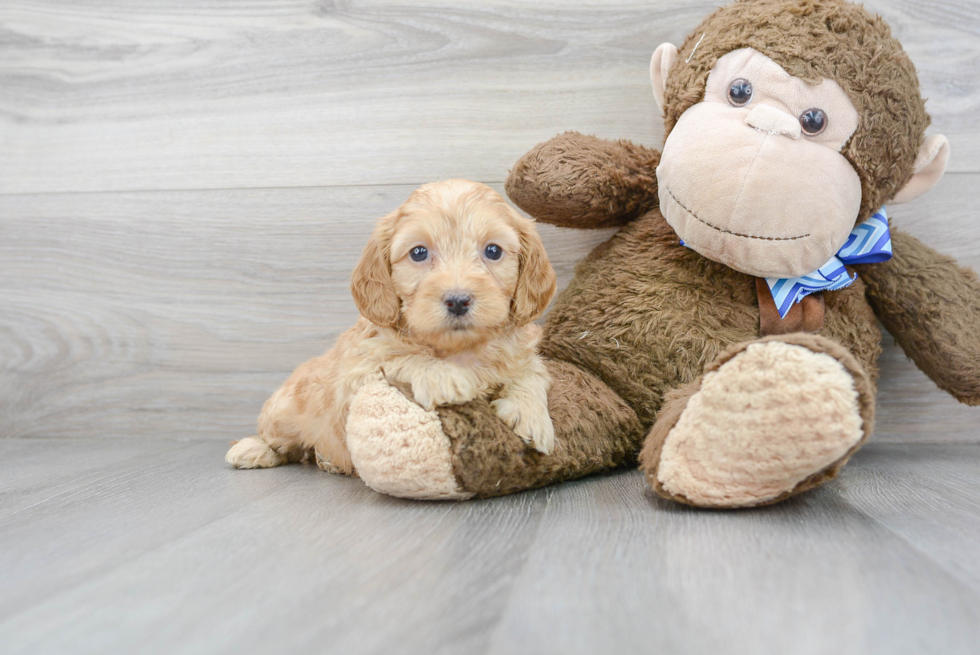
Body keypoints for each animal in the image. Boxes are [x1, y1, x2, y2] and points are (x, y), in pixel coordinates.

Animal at [225, 182, 556, 474]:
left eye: (493, 251)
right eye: (419, 253)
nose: (458, 300)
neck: (456, 350)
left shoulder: (522, 354)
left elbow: (531, 372)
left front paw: (531, 414)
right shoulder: (357, 373)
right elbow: (396, 356)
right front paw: (442, 376)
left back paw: (326, 460)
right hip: (284, 410)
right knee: (279, 439)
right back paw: (253, 449)